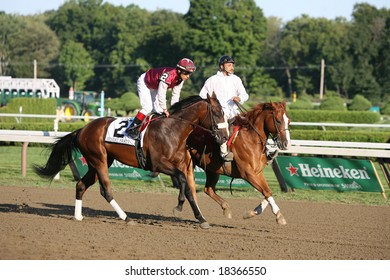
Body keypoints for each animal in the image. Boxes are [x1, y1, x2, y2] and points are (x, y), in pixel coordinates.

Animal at [34, 94, 229, 228]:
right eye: (217, 113)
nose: (225, 137)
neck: (172, 129)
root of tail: (81, 129)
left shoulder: (180, 164)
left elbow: (188, 188)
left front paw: (201, 218)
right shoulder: (158, 164)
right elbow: (181, 180)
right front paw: (179, 207)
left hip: (98, 163)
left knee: (81, 185)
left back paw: (78, 216)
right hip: (99, 160)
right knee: (106, 191)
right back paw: (126, 218)